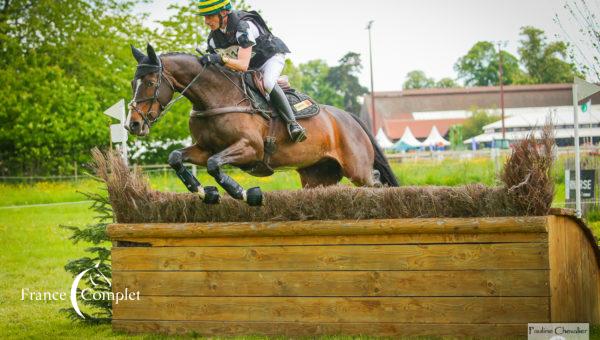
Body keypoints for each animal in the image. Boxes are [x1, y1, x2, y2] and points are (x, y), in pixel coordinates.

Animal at [127, 43, 398, 206]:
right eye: (133, 83)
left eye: (150, 83)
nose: (133, 124)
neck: (216, 98)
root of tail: (350, 117)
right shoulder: (204, 148)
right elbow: (176, 157)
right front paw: (206, 192)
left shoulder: (250, 148)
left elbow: (215, 165)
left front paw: (246, 194)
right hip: (318, 175)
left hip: (357, 169)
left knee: (375, 180)